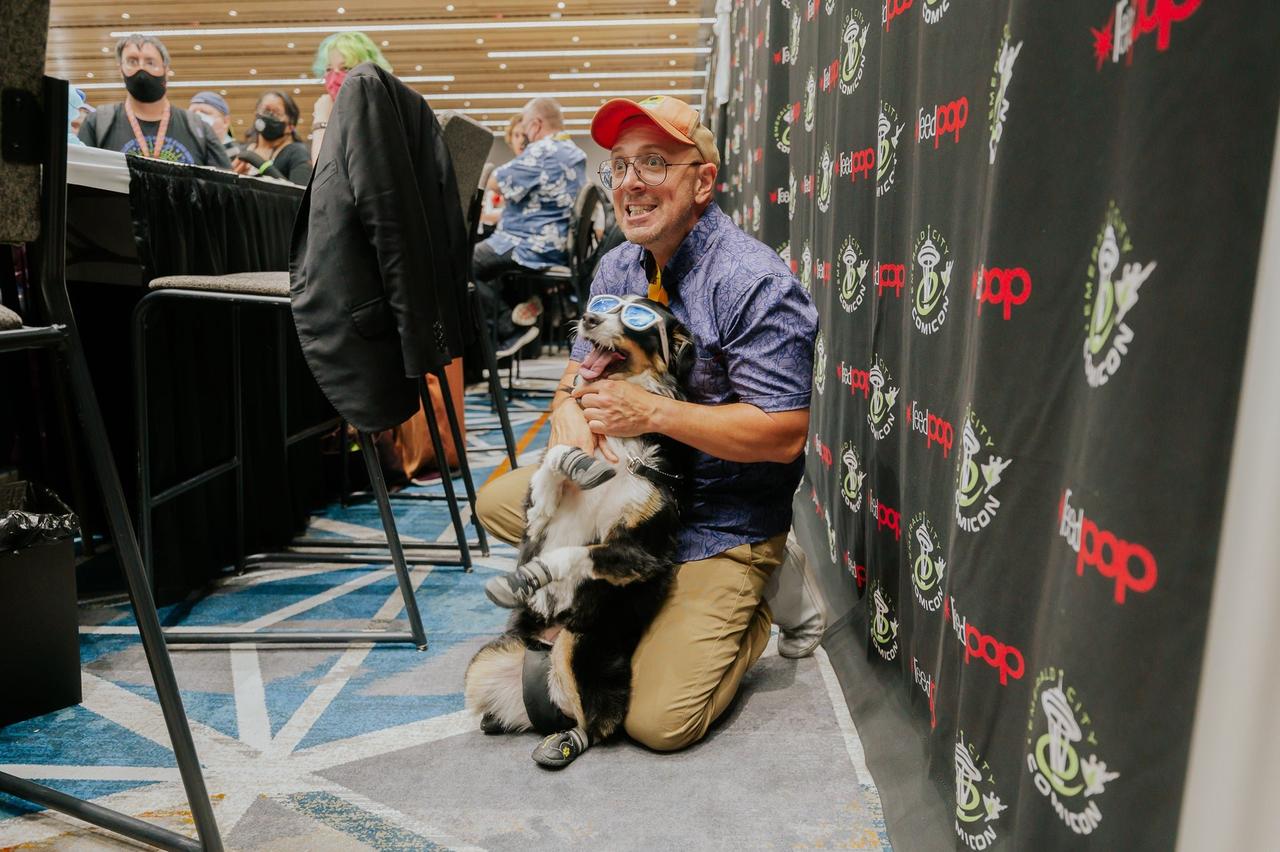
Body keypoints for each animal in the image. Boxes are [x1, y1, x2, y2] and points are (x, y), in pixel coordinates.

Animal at [465, 295, 696, 767]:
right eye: (607, 303)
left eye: (637, 319)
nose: (588, 318)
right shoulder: (537, 517)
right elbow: (557, 460)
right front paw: (577, 462)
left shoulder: (640, 553)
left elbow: (575, 555)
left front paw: (530, 576)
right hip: (483, 660)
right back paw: (498, 719)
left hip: (580, 650)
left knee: (595, 724)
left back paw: (563, 742)